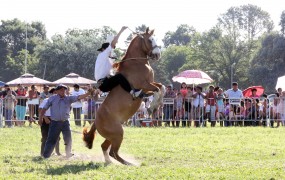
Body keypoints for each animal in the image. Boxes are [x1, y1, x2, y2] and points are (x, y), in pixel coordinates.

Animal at [82, 27, 162, 165]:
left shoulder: (150, 84)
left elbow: (161, 87)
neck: (137, 62)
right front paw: (152, 106)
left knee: (105, 147)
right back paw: (130, 164)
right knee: (113, 152)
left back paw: (109, 162)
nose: (157, 55)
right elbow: (157, 89)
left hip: (112, 136)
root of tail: (96, 121)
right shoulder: (144, 85)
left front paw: (155, 104)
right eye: (150, 40)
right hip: (118, 133)